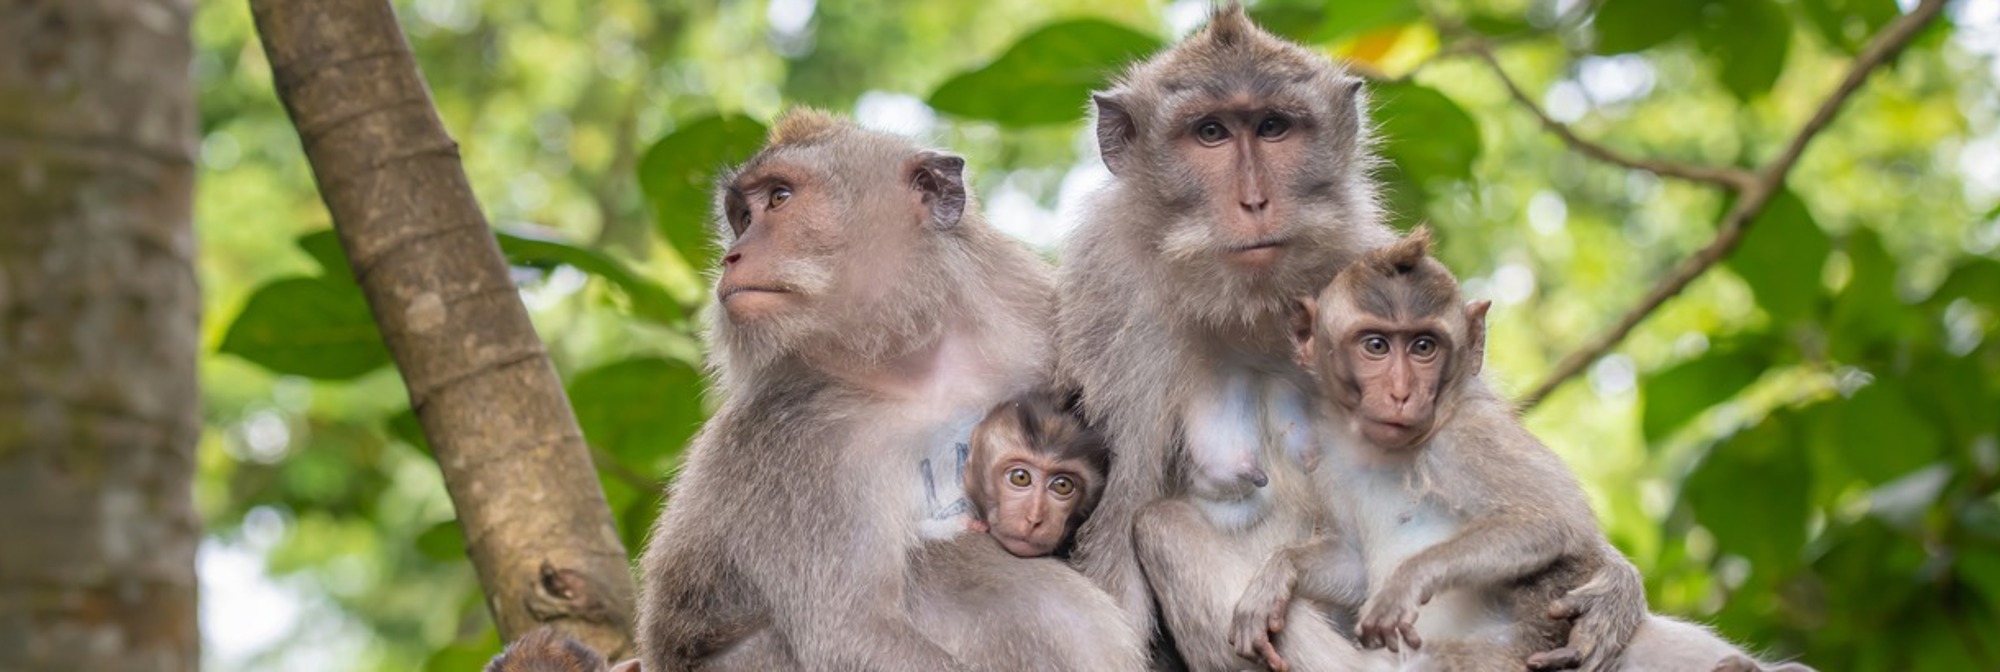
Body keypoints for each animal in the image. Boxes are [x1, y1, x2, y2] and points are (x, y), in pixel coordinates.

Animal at [1056, 5, 1647, 670]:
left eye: (1273, 127)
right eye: (1210, 133)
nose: (1255, 200)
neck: (1246, 307)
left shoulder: (1362, 255)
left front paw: (1613, 581)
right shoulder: (1114, 313)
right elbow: (1118, 521)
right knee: (1160, 526)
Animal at [1226, 228, 1809, 672]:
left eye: (1423, 346)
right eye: (1376, 345)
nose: (1402, 392)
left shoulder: (1470, 438)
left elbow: (1550, 524)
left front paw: (1408, 580)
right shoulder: (1328, 457)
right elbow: (1351, 561)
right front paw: (1277, 575)